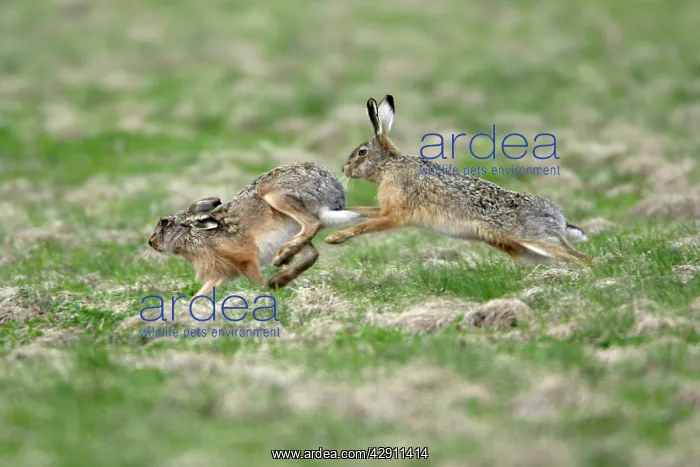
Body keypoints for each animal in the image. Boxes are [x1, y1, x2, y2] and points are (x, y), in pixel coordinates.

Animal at [148, 162, 365, 297]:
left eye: (165, 223)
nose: (151, 242)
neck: (194, 234)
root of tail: (334, 191)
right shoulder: (220, 273)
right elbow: (203, 292)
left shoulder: (246, 260)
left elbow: (256, 282)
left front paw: (262, 296)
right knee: (312, 251)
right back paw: (280, 274)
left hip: (275, 194)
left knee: (312, 224)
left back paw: (282, 260)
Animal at [324, 94, 594, 266]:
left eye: (362, 152)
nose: (344, 168)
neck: (390, 166)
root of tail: (560, 218)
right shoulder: (385, 208)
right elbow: (363, 211)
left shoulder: (397, 214)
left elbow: (367, 226)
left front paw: (334, 238)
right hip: (529, 251)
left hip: (536, 239)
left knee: (583, 258)